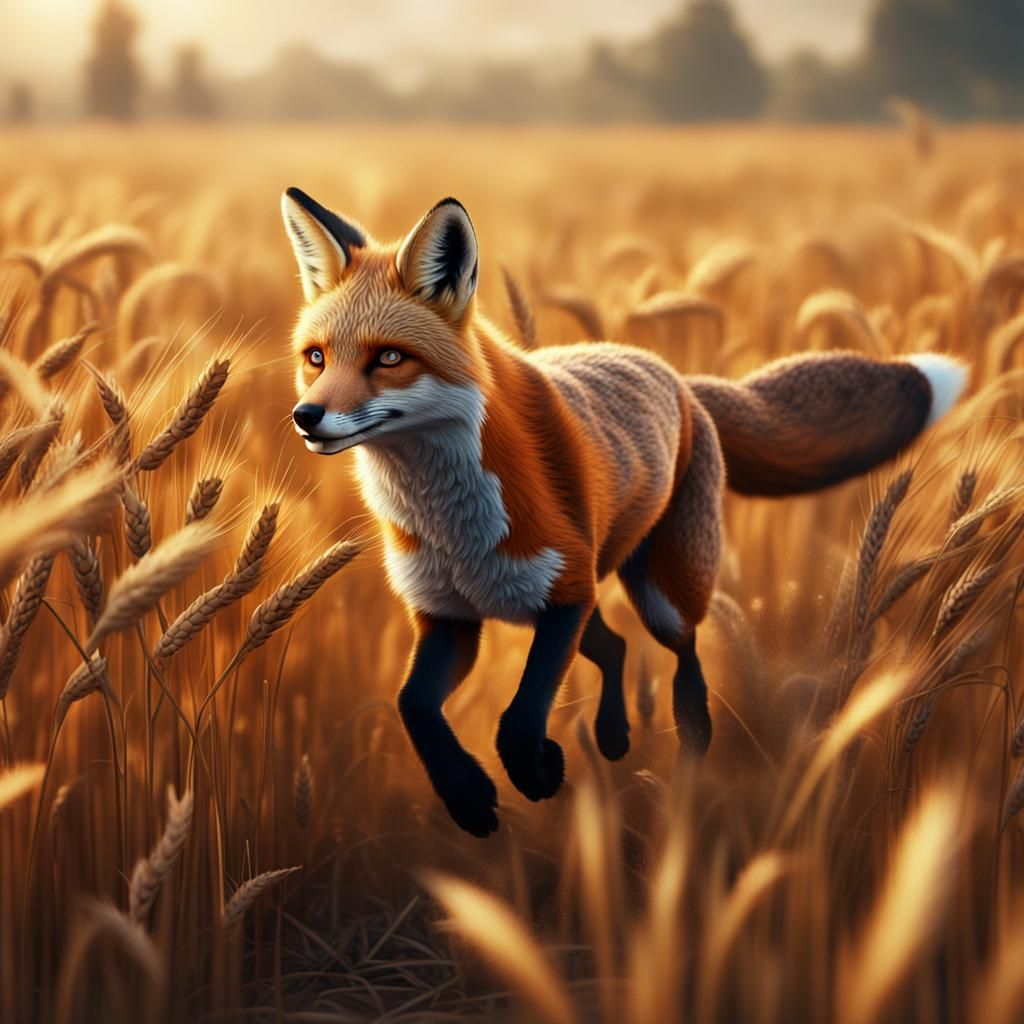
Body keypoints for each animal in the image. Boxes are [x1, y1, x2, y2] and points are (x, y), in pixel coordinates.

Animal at [280, 186, 968, 837]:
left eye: (389, 358)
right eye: (316, 358)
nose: (305, 417)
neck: (450, 525)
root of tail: (680, 379)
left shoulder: (562, 597)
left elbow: (519, 716)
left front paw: (534, 773)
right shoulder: (449, 617)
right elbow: (413, 707)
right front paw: (470, 798)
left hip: (660, 593)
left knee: (684, 665)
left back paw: (689, 761)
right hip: (574, 599)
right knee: (612, 648)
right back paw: (613, 736)